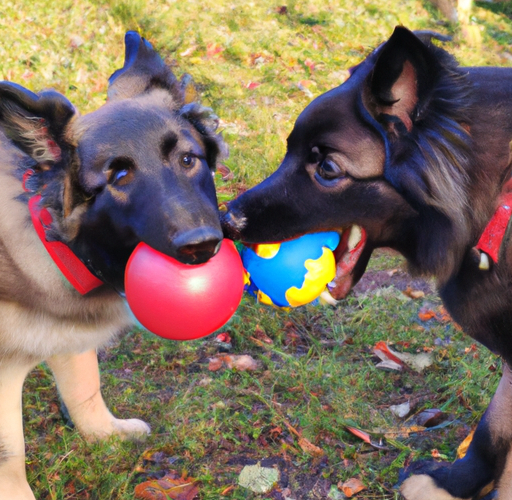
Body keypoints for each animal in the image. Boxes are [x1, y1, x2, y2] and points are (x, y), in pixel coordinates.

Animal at [0, 33, 226, 498]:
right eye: (118, 177)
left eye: (188, 160)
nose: (202, 246)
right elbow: (10, 453)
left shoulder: (69, 333)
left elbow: (85, 385)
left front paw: (105, 435)